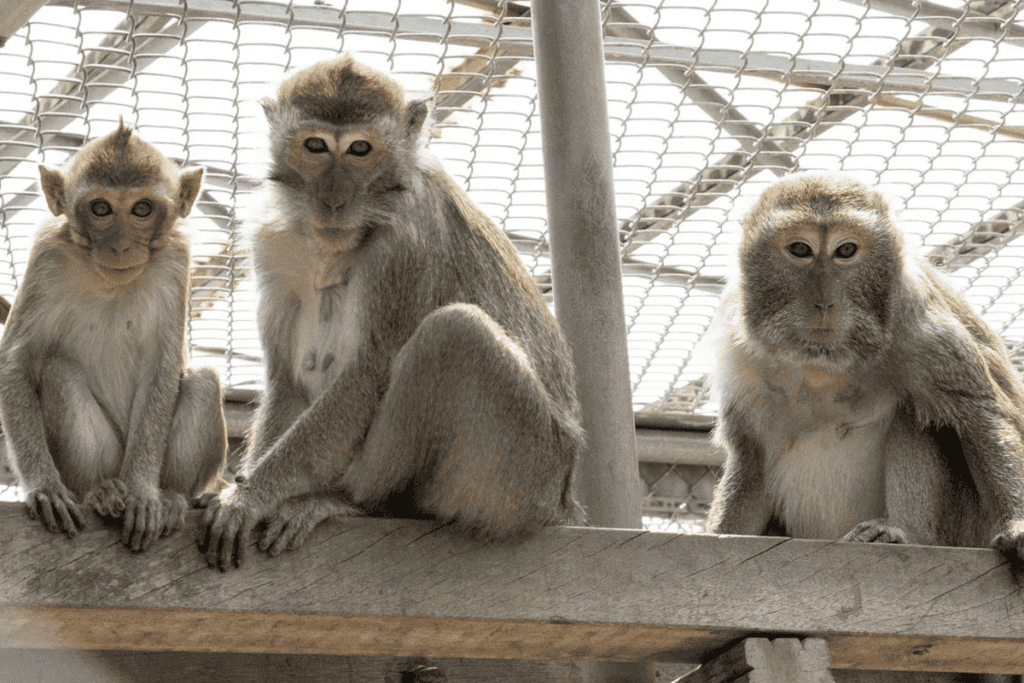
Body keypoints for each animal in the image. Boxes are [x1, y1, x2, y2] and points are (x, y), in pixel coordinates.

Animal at [0, 121, 229, 551]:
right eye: (101, 208)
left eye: (142, 209)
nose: (121, 246)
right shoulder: (47, 253)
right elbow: (15, 362)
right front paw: (44, 486)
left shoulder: (175, 259)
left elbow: (163, 367)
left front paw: (142, 493)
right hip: (107, 457)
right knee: (58, 372)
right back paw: (99, 491)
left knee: (205, 381)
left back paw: (169, 495)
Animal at [199, 55, 585, 571]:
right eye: (316, 146)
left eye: (360, 149)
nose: (335, 198)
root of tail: (564, 501)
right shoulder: (274, 243)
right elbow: (287, 380)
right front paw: (246, 489)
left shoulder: (407, 238)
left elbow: (368, 373)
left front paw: (249, 498)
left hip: (527, 477)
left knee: (454, 333)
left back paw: (353, 502)